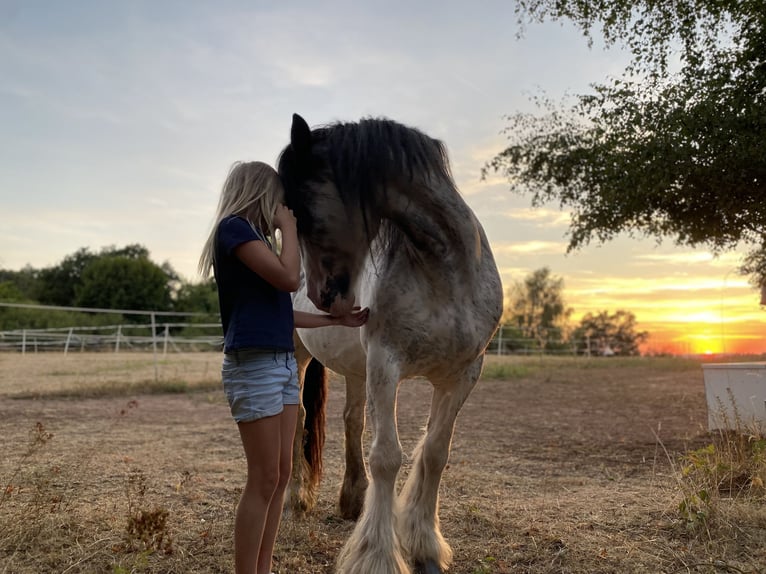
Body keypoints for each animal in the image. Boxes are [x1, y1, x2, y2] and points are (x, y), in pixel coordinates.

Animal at [276, 113, 504, 574]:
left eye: (302, 210)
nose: (321, 295)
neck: (446, 270)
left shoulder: (462, 374)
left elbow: (435, 453)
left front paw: (426, 547)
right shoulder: (386, 363)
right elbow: (387, 456)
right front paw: (378, 556)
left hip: (356, 369)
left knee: (351, 420)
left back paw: (352, 500)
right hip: (303, 354)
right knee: (302, 417)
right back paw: (296, 500)